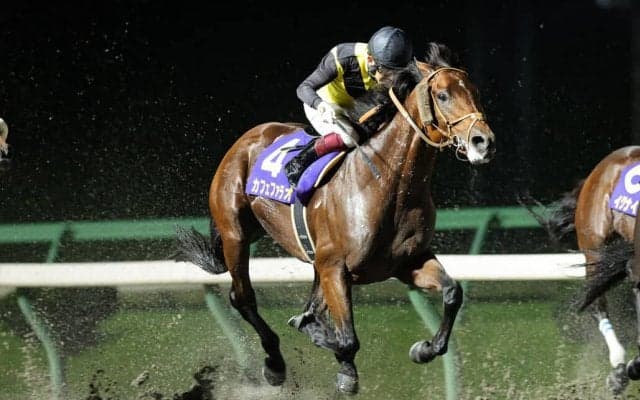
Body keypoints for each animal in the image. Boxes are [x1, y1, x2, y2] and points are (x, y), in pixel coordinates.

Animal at [174, 43, 496, 394]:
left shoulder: (408, 262)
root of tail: (248, 137)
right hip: (236, 234)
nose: (484, 141)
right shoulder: (335, 268)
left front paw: (424, 349)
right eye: (442, 95)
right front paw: (340, 363)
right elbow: (345, 338)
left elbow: (452, 293)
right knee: (242, 297)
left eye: (476, 92)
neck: (389, 183)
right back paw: (275, 363)